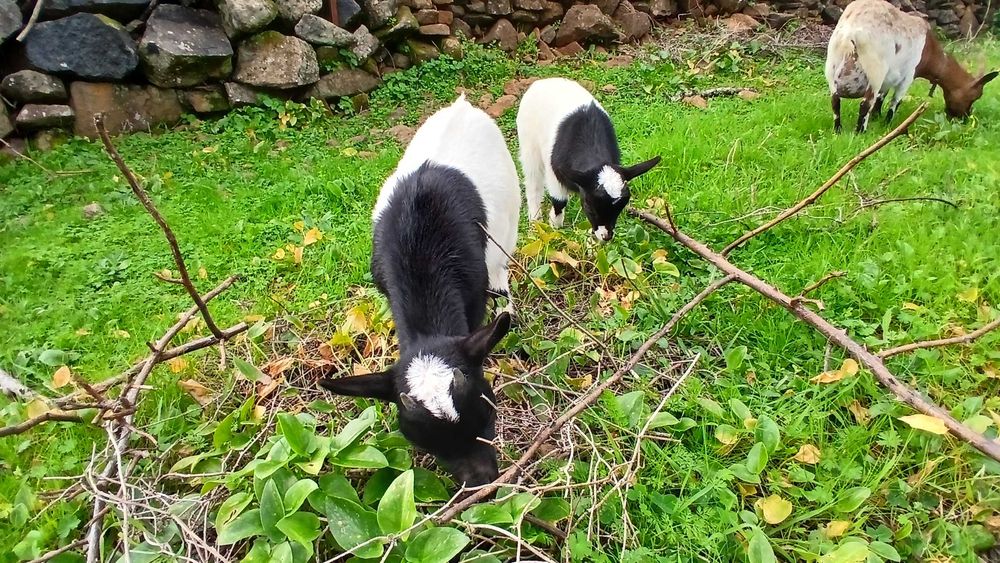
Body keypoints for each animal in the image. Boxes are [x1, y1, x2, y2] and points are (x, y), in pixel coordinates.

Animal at [516, 77, 661, 241]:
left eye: (619, 208)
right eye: (590, 207)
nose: (606, 236)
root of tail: (544, 81)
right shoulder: (554, 173)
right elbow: (559, 201)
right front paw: (555, 227)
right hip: (529, 144)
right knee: (533, 182)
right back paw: (535, 221)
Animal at [826, 0, 997, 133]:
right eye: (975, 96)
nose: (964, 119)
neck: (930, 49)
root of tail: (850, 32)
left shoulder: (890, 77)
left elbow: (882, 97)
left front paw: (877, 118)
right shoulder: (908, 75)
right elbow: (895, 101)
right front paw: (888, 125)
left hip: (832, 66)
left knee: (835, 101)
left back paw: (838, 130)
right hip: (875, 71)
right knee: (865, 104)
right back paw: (860, 132)